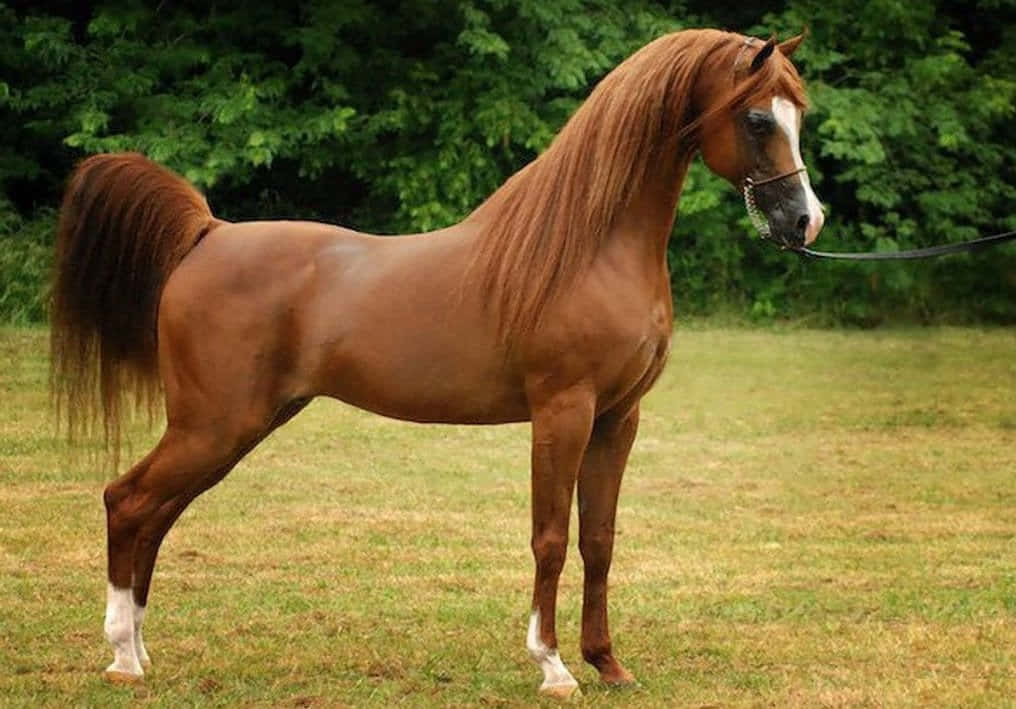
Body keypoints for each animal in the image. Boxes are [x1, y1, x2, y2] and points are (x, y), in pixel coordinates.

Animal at [50, 28, 823, 699]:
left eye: (800, 114)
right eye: (758, 118)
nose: (805, 222)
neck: (589, 247)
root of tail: (205, 234)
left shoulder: (617, 417)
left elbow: (598, 540)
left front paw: (608, 663)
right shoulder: (562, 412)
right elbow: (550, 537)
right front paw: (553, 667)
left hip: (234, 428)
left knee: (156, 514)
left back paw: (139, 650)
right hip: (214, 425)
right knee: (128, 501)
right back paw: (123, 658)